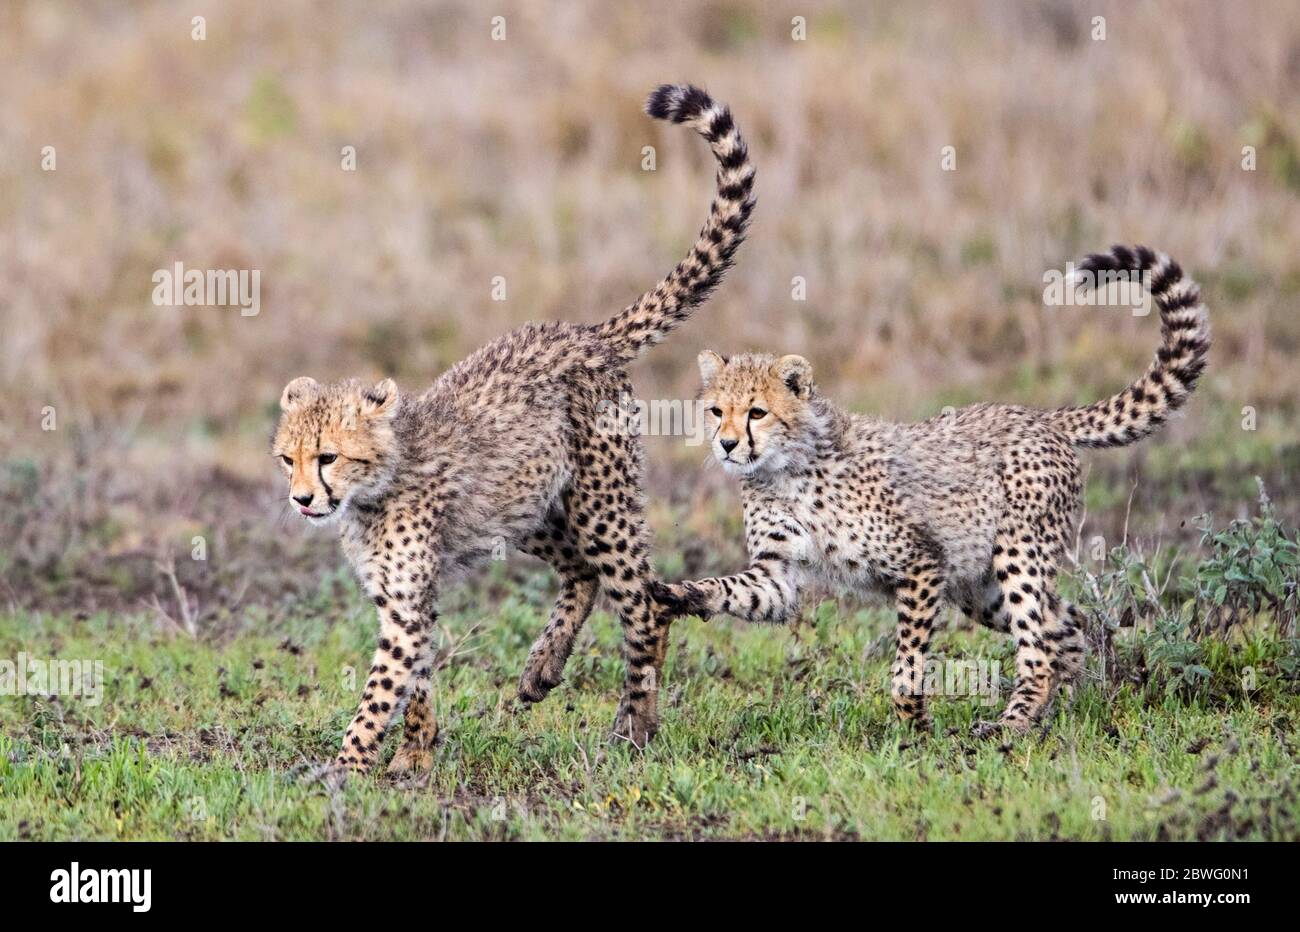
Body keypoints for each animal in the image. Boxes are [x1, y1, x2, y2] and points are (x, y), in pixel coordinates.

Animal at [274, 85, 759, 769]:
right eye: (287, 459)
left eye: (328, 457)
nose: (301, 499)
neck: (375, 488)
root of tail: (581, 332)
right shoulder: (405, 597)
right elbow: (417, 677)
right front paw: (417, 751)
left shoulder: (405, 605)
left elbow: (381, 691)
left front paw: (343, 769)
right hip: (526, 508)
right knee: (583, 572)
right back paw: (542, 670)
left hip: (598, 504)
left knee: (645, 603)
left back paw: (634, 725)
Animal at [650, 245, 1206, 733]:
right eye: (716, 410)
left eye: (757, 413)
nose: (726, 444)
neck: (784, 469)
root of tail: (1039, 415)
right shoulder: (780, 572)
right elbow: (731, 588)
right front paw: (676, 593)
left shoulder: (922, 561)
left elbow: (907, 662)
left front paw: (912, 726)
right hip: (980, 587)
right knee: (1067, 624)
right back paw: (1066, 706)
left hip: (1016, 555)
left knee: (1040, 645)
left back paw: (1011, 725)